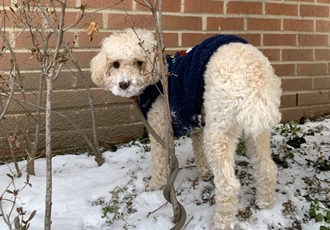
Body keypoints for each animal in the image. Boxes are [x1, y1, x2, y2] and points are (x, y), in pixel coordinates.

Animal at [90, 29, 282, 230]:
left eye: (139, 62)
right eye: (115, 64)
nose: (124, 84)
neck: (158, 75)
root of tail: (254, 72)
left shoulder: (159, 125)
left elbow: (159, 161)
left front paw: (155, 184)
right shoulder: (196, 122)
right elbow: (199, 152)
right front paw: (204, 173)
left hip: (219, 131)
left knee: (229, 184)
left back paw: (221, 221)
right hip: (257, 131)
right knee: (267, 168)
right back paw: (265, 203)